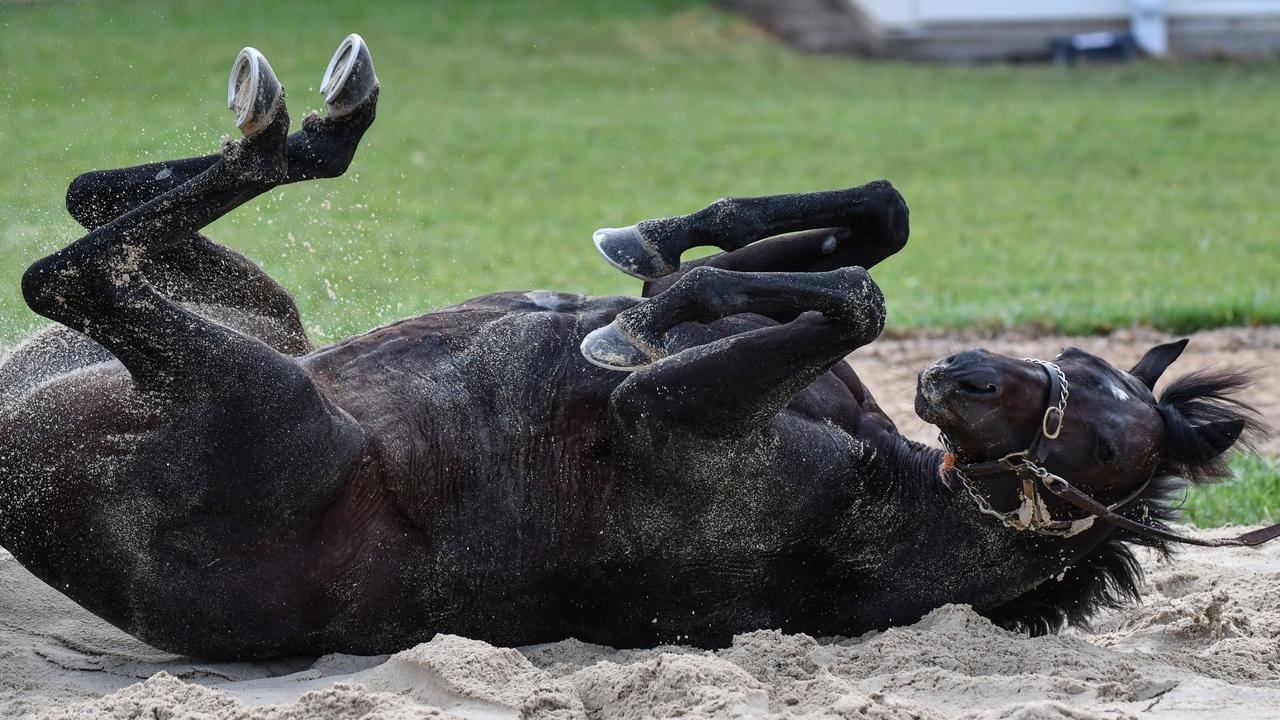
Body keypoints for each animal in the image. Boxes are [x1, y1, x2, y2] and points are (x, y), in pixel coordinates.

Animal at [0, 36, 1264, 661]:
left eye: (1099, 442)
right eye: (1083, 383)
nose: (960, 377)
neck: (902, 489)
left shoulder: (660, 416)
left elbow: (845, 295)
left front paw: (629, 318)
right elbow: (865, 233)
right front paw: (648, 250)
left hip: (245, 384)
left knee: (68, 269)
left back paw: (296, 126)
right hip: (259, 322)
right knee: (87, 203)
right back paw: (312, 119)